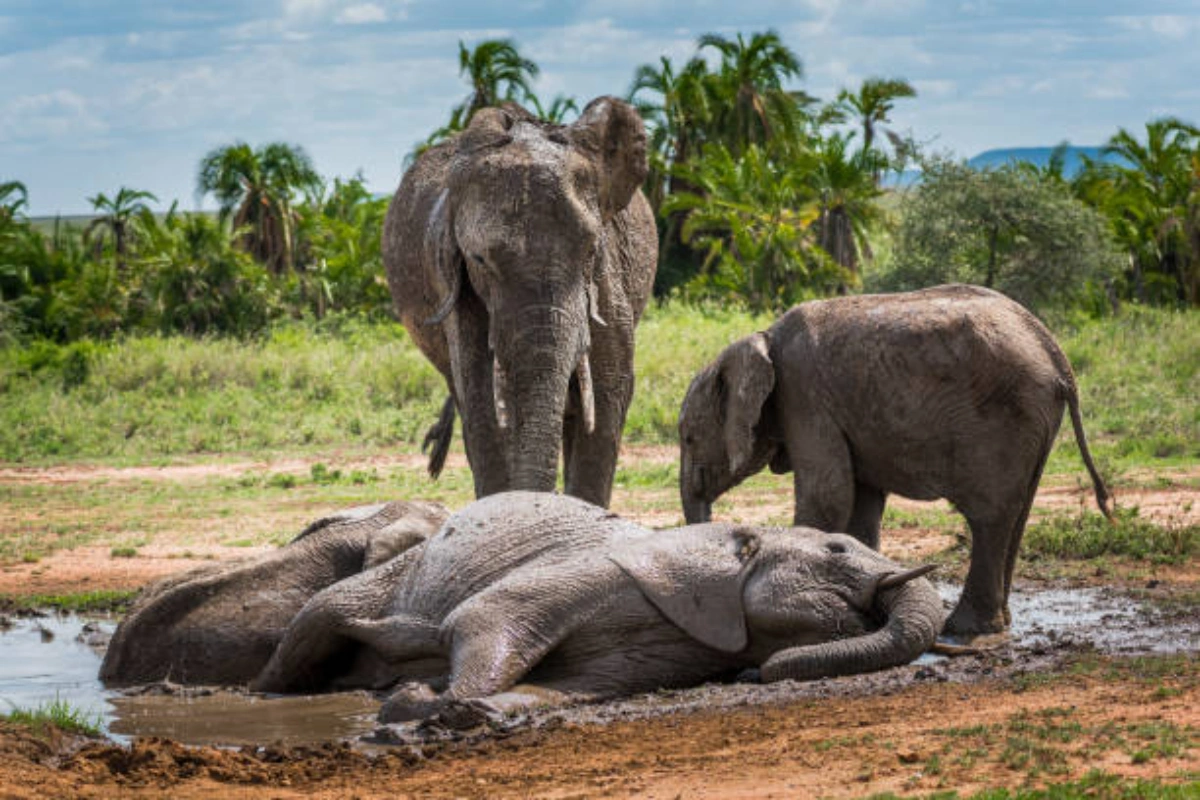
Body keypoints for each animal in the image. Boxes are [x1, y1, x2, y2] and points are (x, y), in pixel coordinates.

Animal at [251, 491, 943, 718]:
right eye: (837, 549)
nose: (754, 675)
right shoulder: (603, 573)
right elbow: (479, 620)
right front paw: (420, 700)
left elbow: (574, 687)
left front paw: (463, 713)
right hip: (388, 575)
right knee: (313, 628)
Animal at [382, 96, 658, 508]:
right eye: (480, 260)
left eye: (591, 250)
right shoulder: (460, 289)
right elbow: (481, 398)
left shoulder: (607, 285)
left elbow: (610, 391)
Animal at [677, 284, 1112, 637]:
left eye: (688, 437)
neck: (758, 340)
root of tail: (1057, 356)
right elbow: (861, 504)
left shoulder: (803, 396)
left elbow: (828, 495)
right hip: (1035, 422)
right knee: (1017, 513)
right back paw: (996, 625)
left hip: (1007, 416)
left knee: (989, 516)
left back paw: (963, 629)